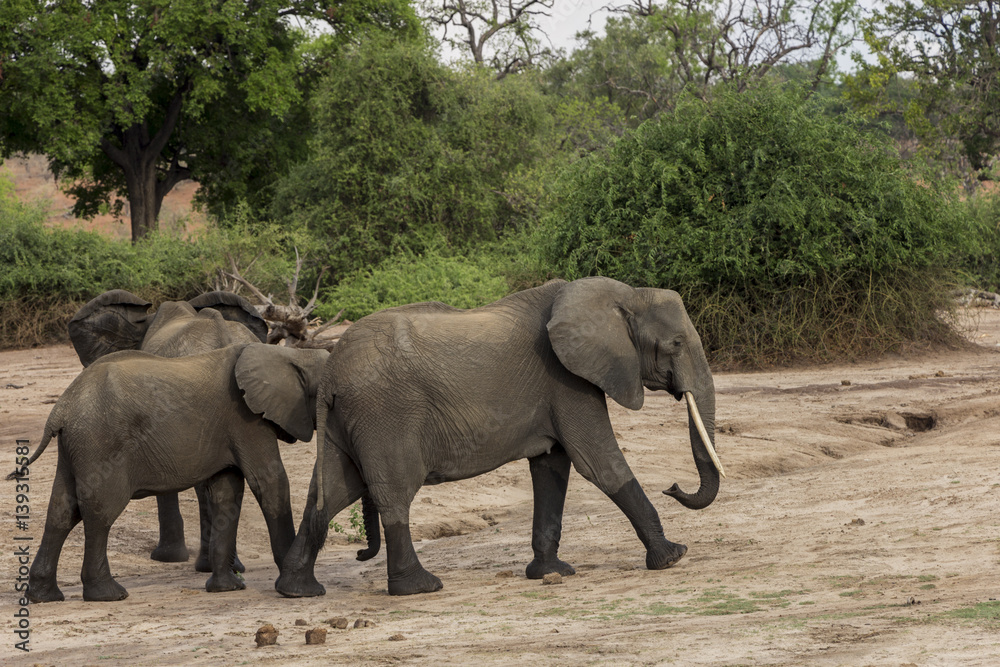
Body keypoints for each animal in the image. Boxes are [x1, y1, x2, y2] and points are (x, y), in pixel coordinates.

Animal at [11, 342, 329, 602]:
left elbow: (227, 493)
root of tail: (60, 409)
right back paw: (109, 595)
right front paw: (298, 588)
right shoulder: (247, 420)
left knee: (61, 512)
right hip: (99, 443)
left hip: (73, 447)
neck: (291, 354)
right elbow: (270, 483)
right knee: (99, 512)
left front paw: (226, 588)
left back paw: (43, 597)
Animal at [275, 276, 724, 598]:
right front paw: (673, 557)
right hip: (385, 413)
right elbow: (598, 463)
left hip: (347, 419)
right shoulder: (567, 381)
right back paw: (420, 587)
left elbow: (552, 469)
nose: (673, 486)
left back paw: (297, 591)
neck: (622, 295)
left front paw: (550, 574)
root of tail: (331, 370)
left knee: (331, 492)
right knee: (394, 492)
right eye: (675, 344)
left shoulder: (559, 388)